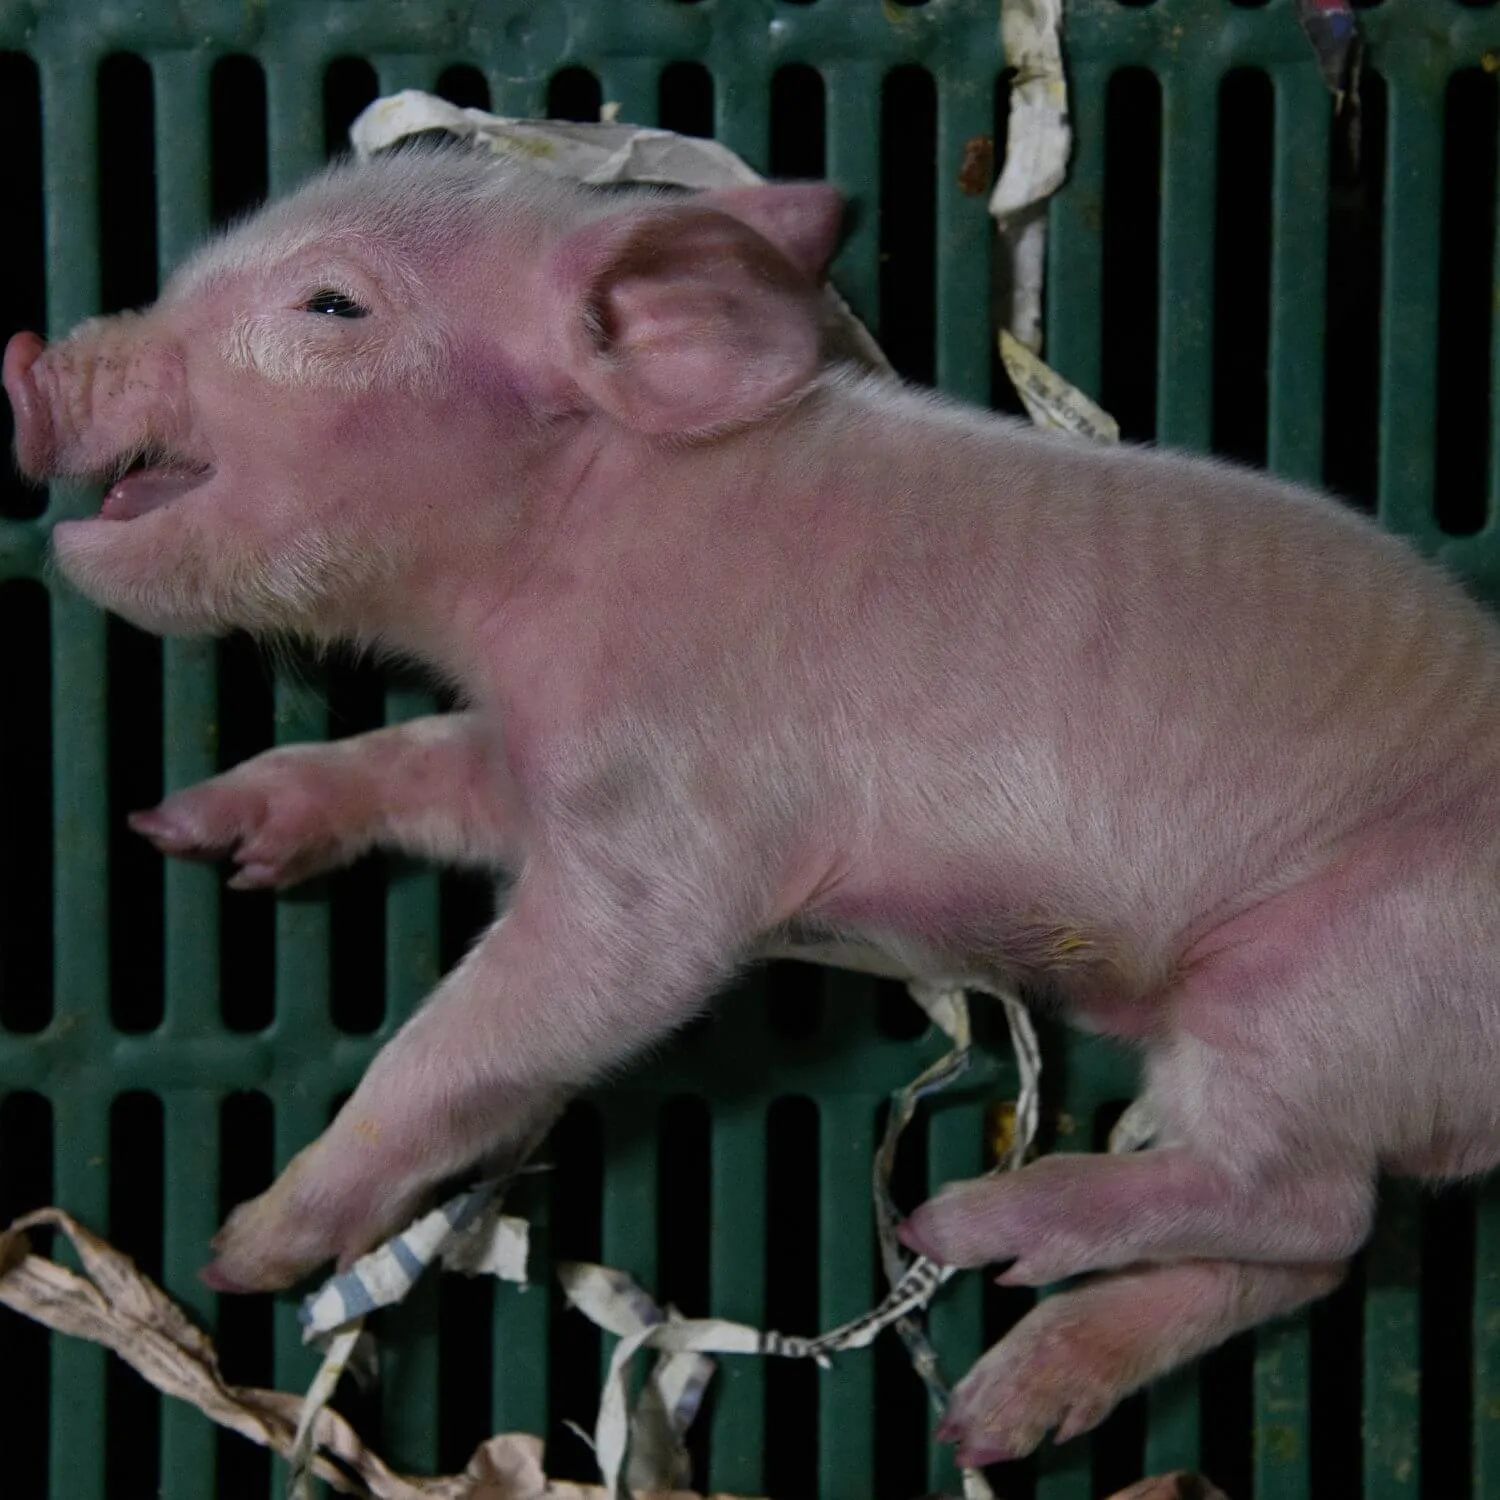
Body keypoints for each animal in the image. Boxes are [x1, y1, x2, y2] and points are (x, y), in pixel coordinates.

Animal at [8, 144, 1500, 1466]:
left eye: (330, 306)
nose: (27, 361)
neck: (570, 529)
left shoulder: (673, 833)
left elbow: (512, 1022)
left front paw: (245, 1245)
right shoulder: (543, 760)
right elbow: (423, 763)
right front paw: (192, 828)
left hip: (1324, 978)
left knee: (1307, 1205)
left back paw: (961, 1230)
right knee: (1307, 1258)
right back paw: (992, 1411)